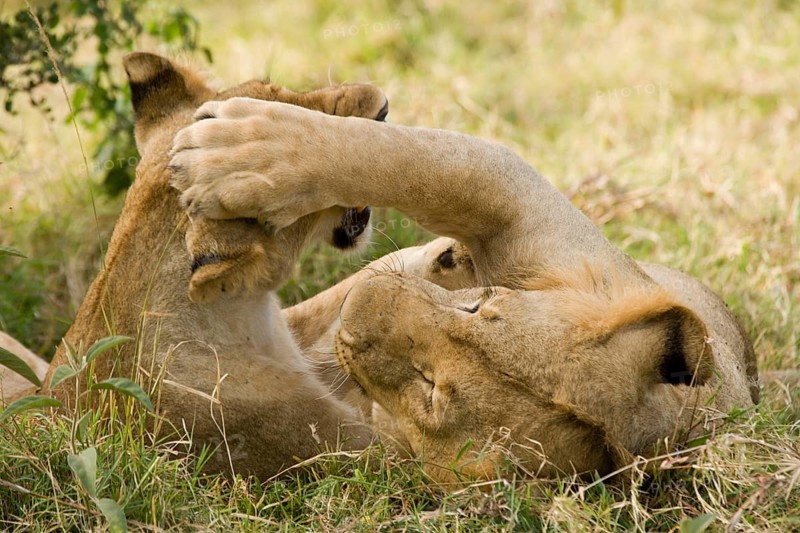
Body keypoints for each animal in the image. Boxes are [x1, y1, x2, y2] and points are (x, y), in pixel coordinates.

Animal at [168, 96, 760, 482]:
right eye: (480, 307)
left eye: (431, 391)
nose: (362, 305)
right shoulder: (538, 222)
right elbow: (422, 162)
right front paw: (236, 149)